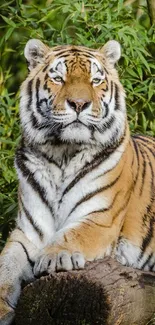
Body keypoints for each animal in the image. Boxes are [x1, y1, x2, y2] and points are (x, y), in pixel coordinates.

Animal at [0, 38, 154, 324]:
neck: (62, 153)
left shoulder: (100, 219)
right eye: (58, 78)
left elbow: (71, 234)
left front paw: (53, 257)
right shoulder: (28, 231)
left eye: (96, 80)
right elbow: (6, 265)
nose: (79, 103)